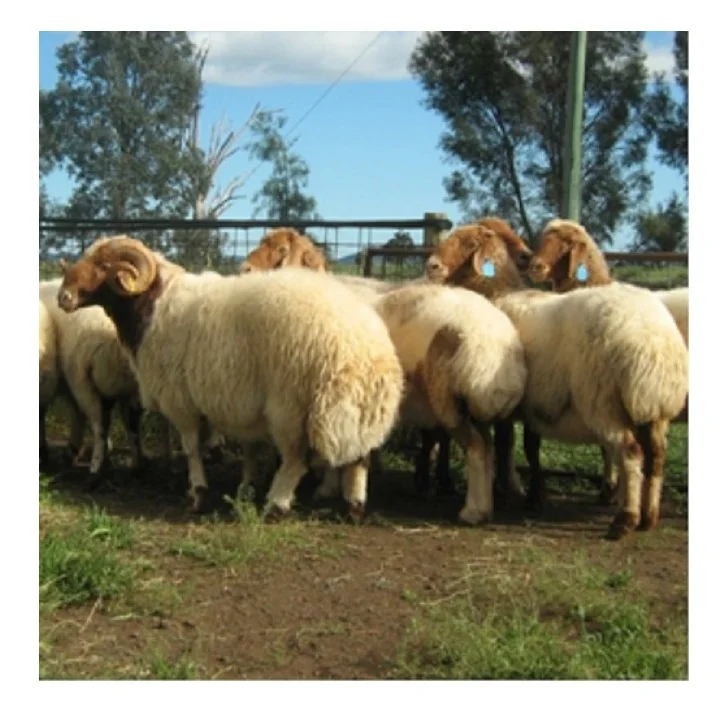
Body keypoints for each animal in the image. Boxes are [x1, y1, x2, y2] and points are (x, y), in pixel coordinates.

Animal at [56, 235, 405, 518]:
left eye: (104, 266)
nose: (63, 297)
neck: (151, 306)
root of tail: (362, 347)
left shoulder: (181, 402)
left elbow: (192, 449)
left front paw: (198, 495)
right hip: (358, 411)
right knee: (360, 458)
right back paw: (354, 506)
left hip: (290, 407)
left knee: (296, 460)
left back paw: (276, 505)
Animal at [424, 223, 689, 539]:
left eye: (468, 242)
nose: (431, 266)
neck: (499, 293)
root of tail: (654, 343)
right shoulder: (533, 403)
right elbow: (526, 446)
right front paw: (532, 497)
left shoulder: (509, 402)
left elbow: (505, 445)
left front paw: (508, 494)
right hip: (654, 408)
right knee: (656, 457)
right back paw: (649, 518)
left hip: (604, 400)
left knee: (630, 452)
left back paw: (624, 520)